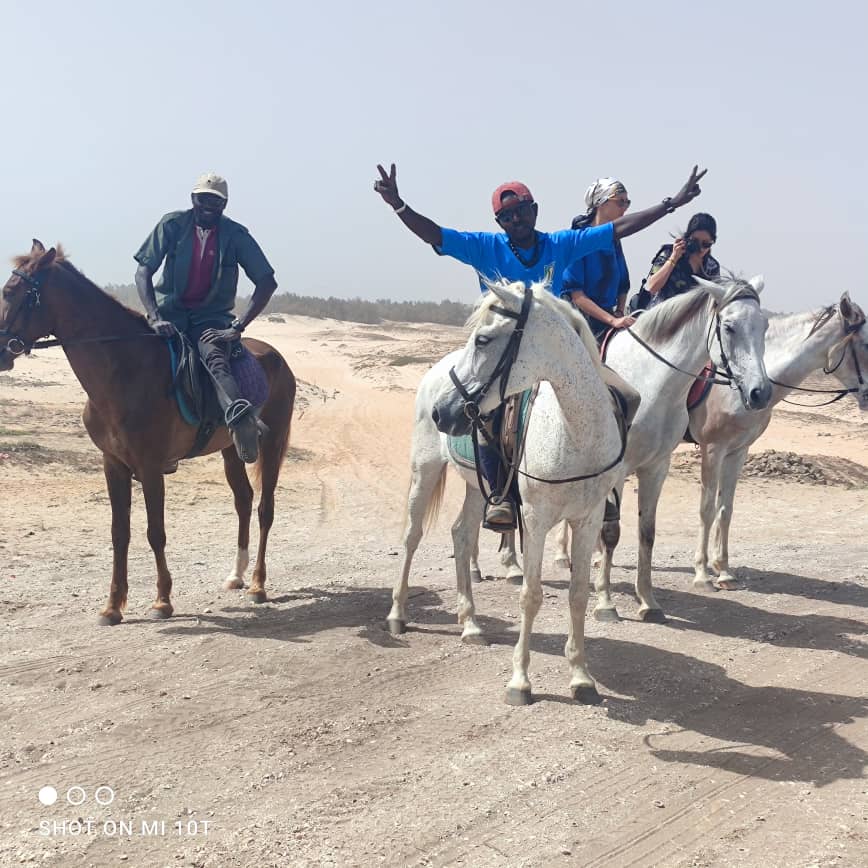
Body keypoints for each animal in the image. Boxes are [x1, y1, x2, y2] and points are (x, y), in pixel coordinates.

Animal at [0, 241, 294, 624]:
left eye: (10, 292)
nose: (1, 352)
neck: (123, 369)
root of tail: (275, 356)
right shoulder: (113, 464)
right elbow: (119, 533)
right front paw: (112, 606)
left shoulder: (151, 467)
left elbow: (156, 532)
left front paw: (162, 601)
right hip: (231, 448)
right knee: (243, 500)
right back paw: (236, 575)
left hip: (272, 443)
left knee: (264, 509)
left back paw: (258, 584)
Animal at [392, 282, 624, 700]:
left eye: (483, 340)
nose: (442, 412)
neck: (575, 433)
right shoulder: (535, 520)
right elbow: (530, 595)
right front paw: (520, 680)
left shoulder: (588, 519)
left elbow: (578, 594)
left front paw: (581, 676)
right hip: (425, 470)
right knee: (412, 536)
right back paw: (397, 615)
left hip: (475, 487)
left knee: (461, 534)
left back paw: (470, 624)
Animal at [584, 278, 772, 624]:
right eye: (729, 327)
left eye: (764, 325)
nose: (760, 392)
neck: (648, 384)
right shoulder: (618, 471)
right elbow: (611, 532)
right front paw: (605, 602)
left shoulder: (657, 466)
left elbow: (647, 532)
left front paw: (648, 601)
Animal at [688, 294, 864, 588]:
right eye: (866, 344)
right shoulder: (713, 449)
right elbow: (705, 509)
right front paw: (702, 572)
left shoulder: (737, 451)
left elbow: (725, 509)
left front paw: (723, 570)